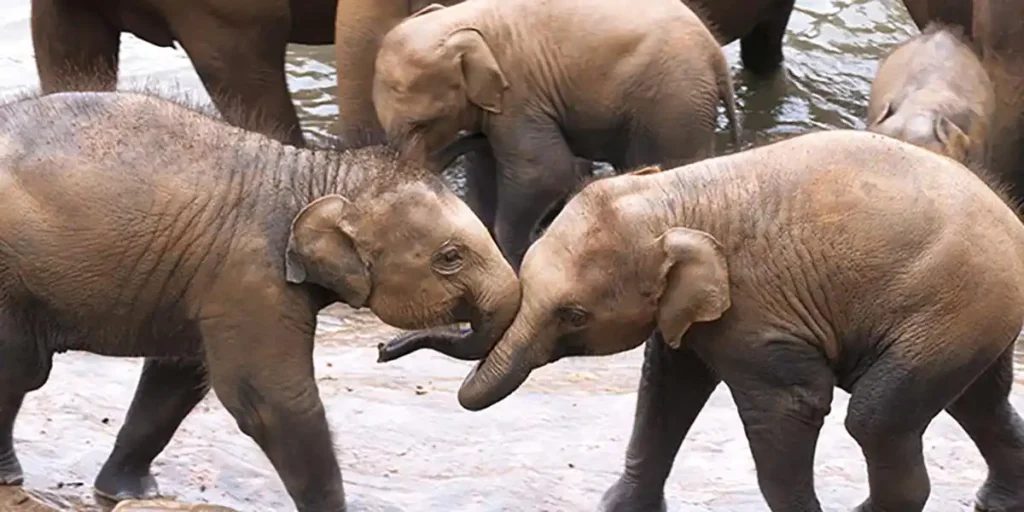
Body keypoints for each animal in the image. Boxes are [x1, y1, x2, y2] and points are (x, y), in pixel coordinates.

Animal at [0, 92, 516, 512]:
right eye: (450, 258)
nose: (382, 350)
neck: (316, 174)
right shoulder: (251, 279)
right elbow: (271, 400)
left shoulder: (209, 285)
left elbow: (178, 379)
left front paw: (127, 493)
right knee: (23, 367)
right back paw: (9, 476)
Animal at [372, 0, 741, 270]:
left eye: (421, 124)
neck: (465, 23)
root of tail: (716, 56)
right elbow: (489, 166)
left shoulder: (520, 95)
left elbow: (545, 172)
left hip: (673, 102)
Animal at [380, 130, 1024, 512]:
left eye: (573, 314)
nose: (384, 350)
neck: (676, 196)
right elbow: (667, 385)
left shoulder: (757, 310)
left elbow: (789, 405)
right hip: (970, 316)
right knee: (978, 402)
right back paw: (997, 502)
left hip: (948, 306)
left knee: (878, 419)